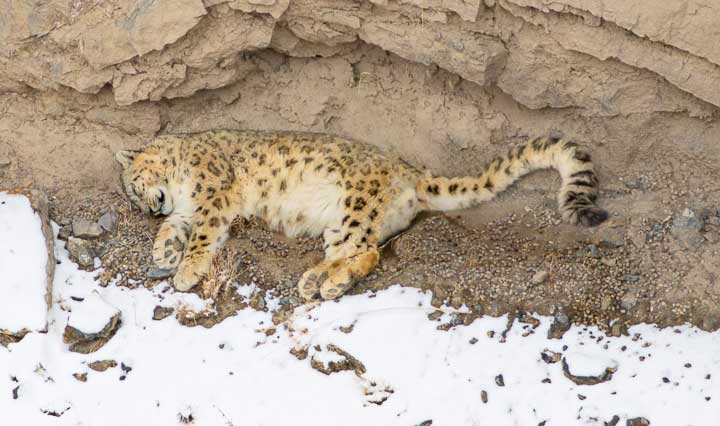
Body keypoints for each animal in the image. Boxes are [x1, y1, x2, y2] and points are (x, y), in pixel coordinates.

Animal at [116, 130, 608, 301]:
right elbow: (177, 226)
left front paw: (184, 270)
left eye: (132, 186)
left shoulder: (214, 196)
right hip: (339, 223)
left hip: (356, 207)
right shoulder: (187, 208)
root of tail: (410, 172)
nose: (147, 207)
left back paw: (324, 282)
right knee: (353, 253)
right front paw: (163, 250)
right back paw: (320, 280)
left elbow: (202, 236)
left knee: (367, 251)